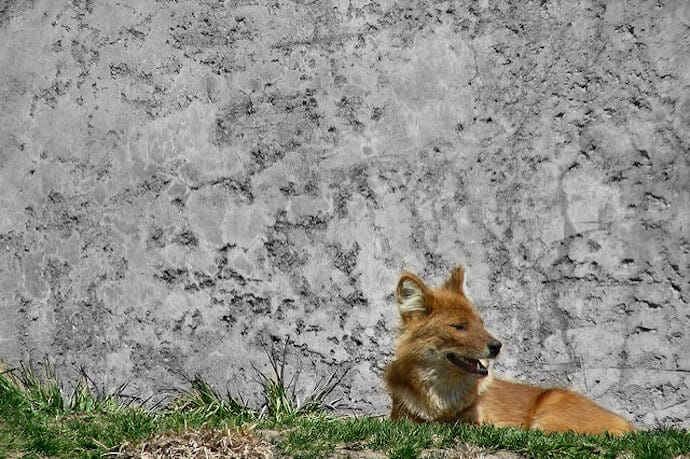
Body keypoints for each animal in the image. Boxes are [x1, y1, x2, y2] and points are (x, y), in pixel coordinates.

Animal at [384, 266, 632, 434]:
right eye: (459, 326)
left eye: (480, 323)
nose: (497, 346)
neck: (439, 400)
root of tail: (631, 426)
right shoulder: (402, 418)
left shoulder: (476, 422)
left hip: (551, 410)